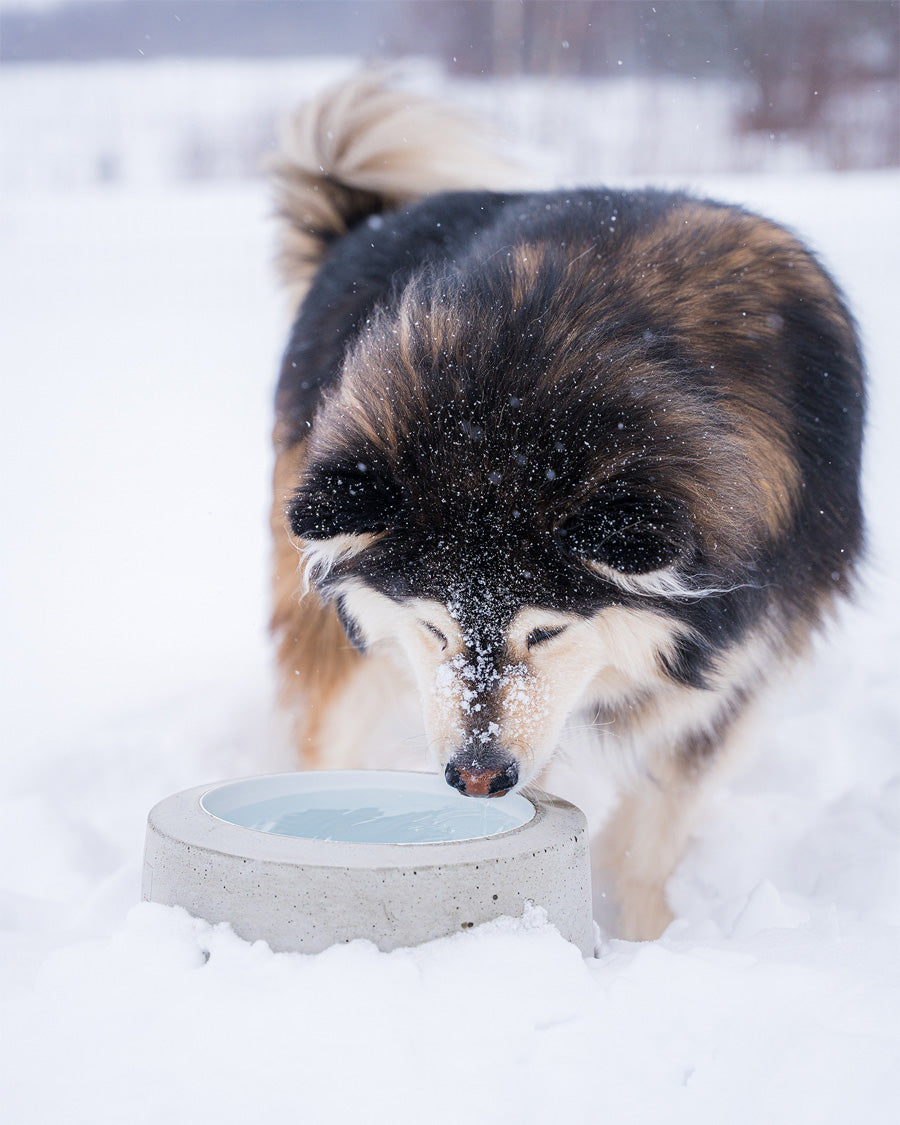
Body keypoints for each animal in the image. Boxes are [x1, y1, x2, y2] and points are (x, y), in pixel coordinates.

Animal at [268, 77, 864, 940]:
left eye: (546, 631)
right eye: (433, 628)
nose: (476, 778)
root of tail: (369, 219)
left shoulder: (742, 660)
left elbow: (653, 829)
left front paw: (646, 939)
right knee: (321, 732)